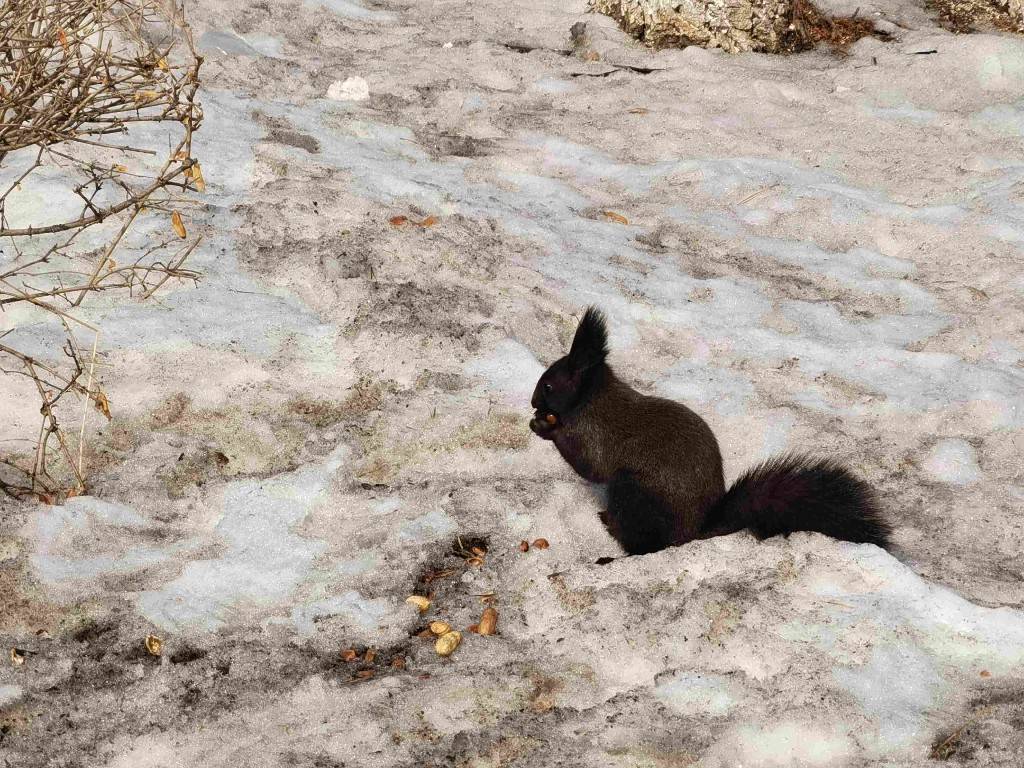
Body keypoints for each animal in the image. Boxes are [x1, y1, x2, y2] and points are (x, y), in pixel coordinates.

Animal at [532, 309, 892, 561]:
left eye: (548, 385)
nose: (534, 402)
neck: (590, 398)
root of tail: (693, 533)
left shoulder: (596, 434)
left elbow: (590, 466)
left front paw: (545, 428)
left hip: (632, 492)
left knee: (646, 546)